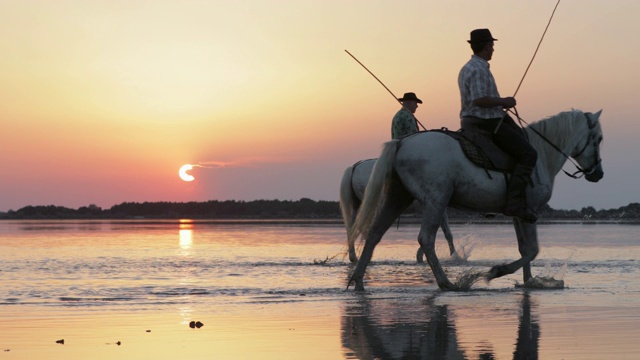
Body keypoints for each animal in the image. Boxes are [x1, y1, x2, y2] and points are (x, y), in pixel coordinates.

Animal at [348, 109, 604, 290]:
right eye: (599, 138)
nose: (598, 174)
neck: (541, 154)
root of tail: (401, 143)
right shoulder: (530, 211)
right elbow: (532, 250)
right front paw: (496, 272)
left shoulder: (519, 214)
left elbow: (525, 249)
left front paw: (529, 281)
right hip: (435, 201)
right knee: (426, 239)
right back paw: (446, 283)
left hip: (397, 198)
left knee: (374, 234)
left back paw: (358, 280)